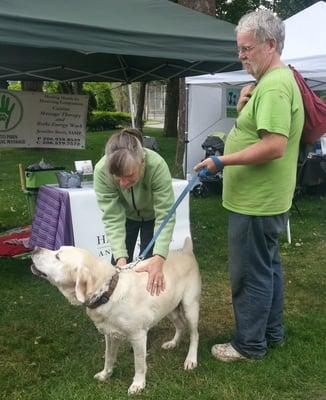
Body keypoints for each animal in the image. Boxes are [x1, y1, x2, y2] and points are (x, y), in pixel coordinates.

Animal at [32, 238, 201, 394]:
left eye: (58, 256)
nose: (34, 248)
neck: (108, 292)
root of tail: (186, 251)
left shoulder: (138, 336)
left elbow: (139, 364)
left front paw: (138, 384)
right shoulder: (110, 335)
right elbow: (108, 357)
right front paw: (105, 374)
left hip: (190, 307)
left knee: (194, 334)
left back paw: (191, 359)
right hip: (169, 308)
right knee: (180, 326)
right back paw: (173, 343)